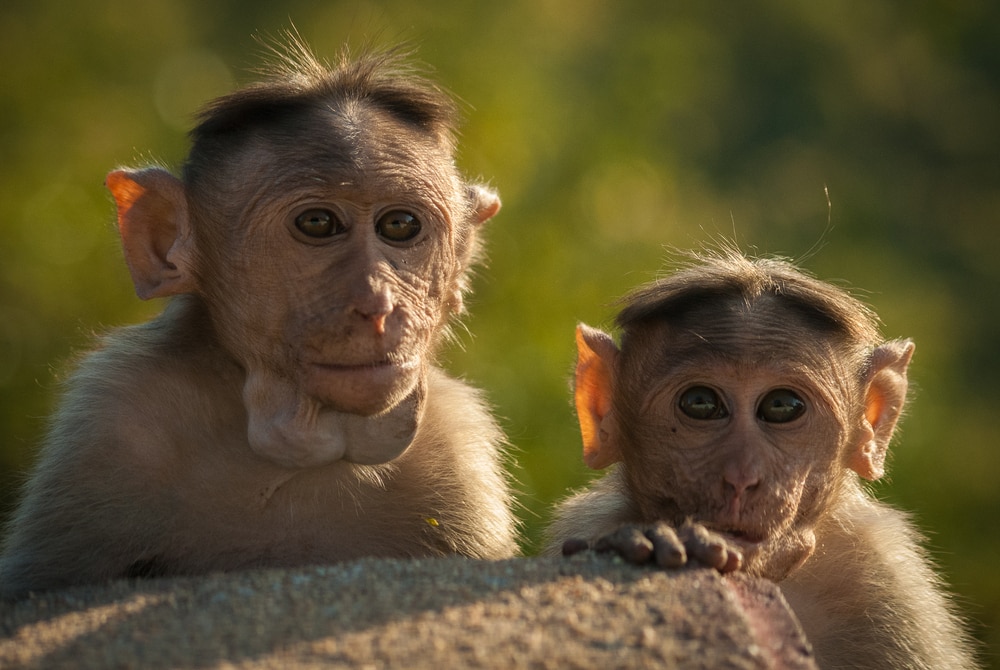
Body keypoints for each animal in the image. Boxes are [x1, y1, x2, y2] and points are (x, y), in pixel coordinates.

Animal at [546, 250, 978, 669]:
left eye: (782, 406)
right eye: (700, 403)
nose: (742, 477)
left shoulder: (890, 580)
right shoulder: (588, 523)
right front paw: (653, 538)